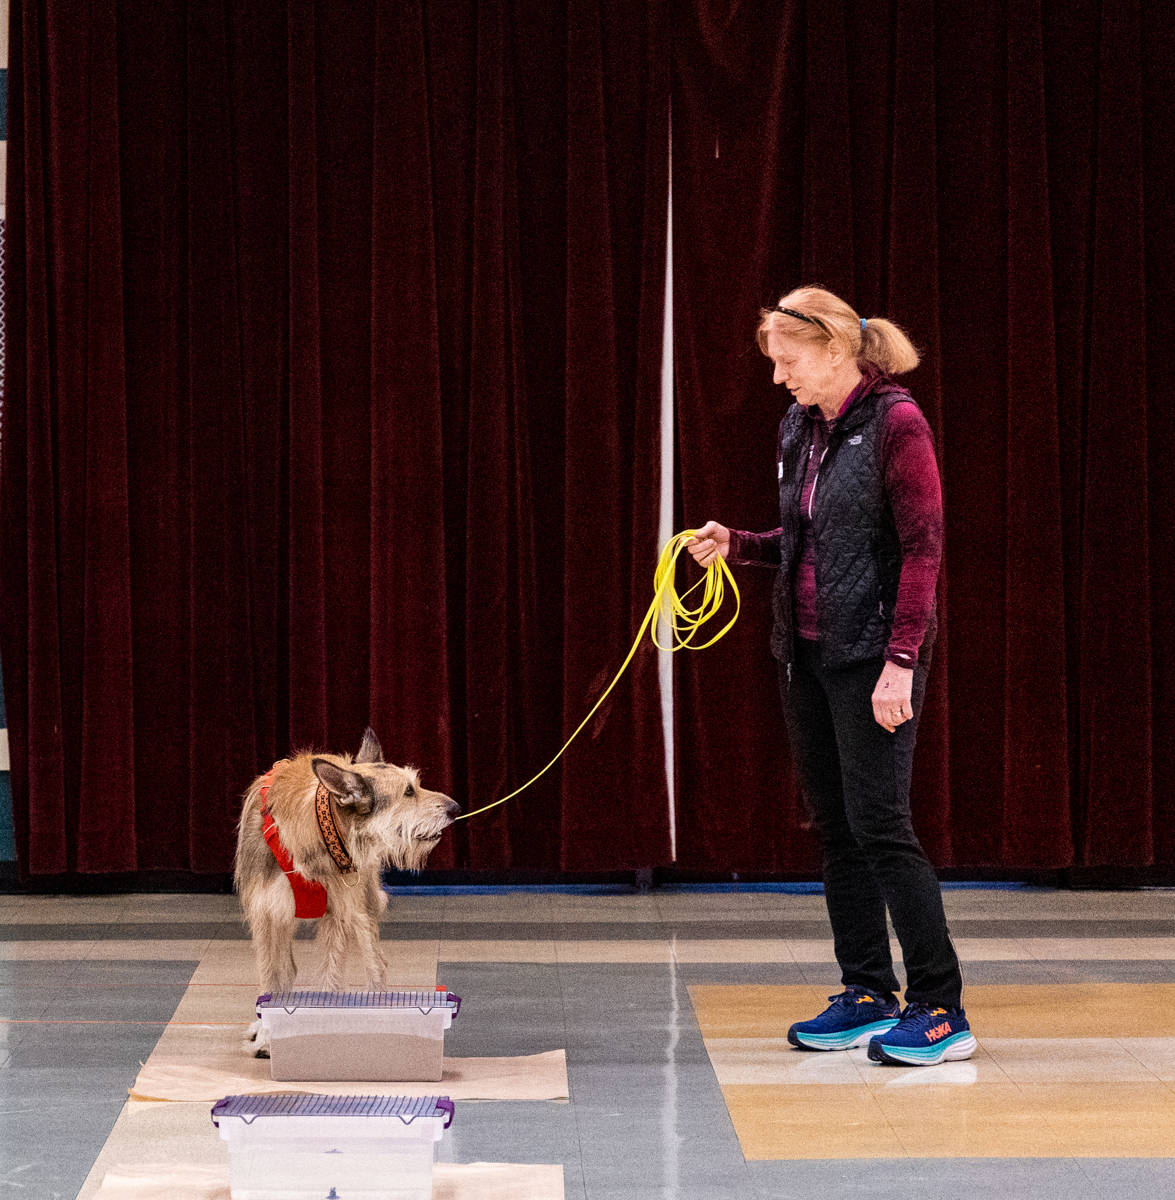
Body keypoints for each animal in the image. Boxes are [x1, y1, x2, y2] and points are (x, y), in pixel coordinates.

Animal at [235, 727, 459, 1054]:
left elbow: (331, 976)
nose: (456, 808)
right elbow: (271, 978)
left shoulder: (337, 913)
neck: (317, 828)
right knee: (286, 968)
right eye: (408, 792)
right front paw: (265, 1034)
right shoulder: (265, 914)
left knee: (376, 963)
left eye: (415, 785)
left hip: (363, 904)